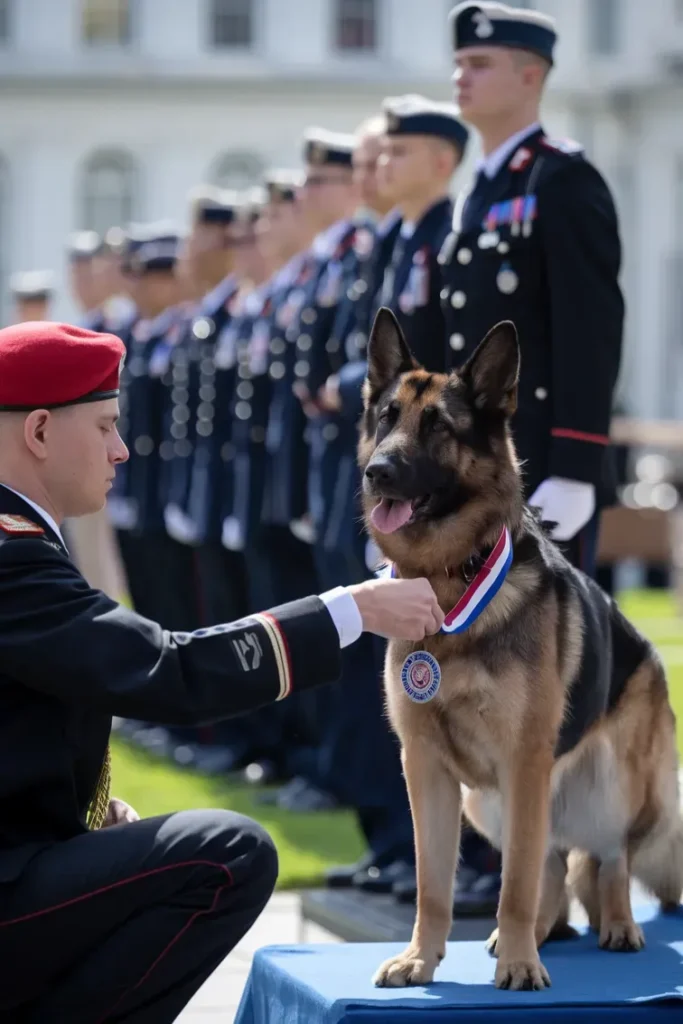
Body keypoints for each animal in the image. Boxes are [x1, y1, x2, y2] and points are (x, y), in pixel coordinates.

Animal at [358, 305, 683, 991]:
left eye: (439, 426)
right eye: (387, 418)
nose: (378, 474)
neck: (452, 582)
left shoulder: (522, 759)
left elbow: (515, 886)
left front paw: (519, 964)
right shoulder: (425, 767)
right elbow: (434, 884)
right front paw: (421, 958)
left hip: (613, 786)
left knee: (604, 859)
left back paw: (614, 926)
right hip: (485, 802)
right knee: (556, 863)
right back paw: (545, 931)